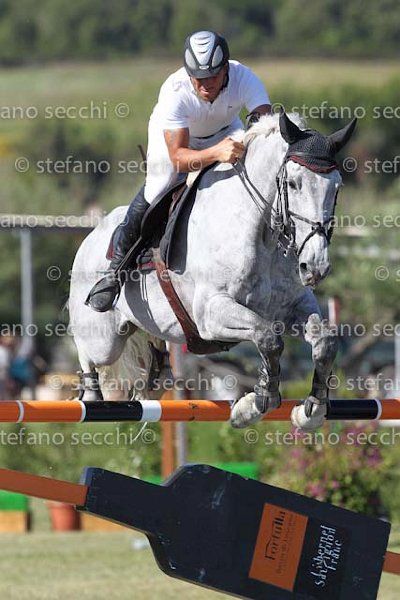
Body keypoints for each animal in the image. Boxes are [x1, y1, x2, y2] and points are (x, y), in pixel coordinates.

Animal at [69, 111, 356, 431]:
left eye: (337, 187)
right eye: (293, 184)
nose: (315, 266)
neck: (263, 236)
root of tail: (91, 236)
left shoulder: (295, 306)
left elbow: (324, 342)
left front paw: (311, 410)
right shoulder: (211, 314)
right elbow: (268, 338)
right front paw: (252, 406)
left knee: (153, 368)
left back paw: (155, 374)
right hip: (103, 338)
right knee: (88, 352)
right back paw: (91, 391)